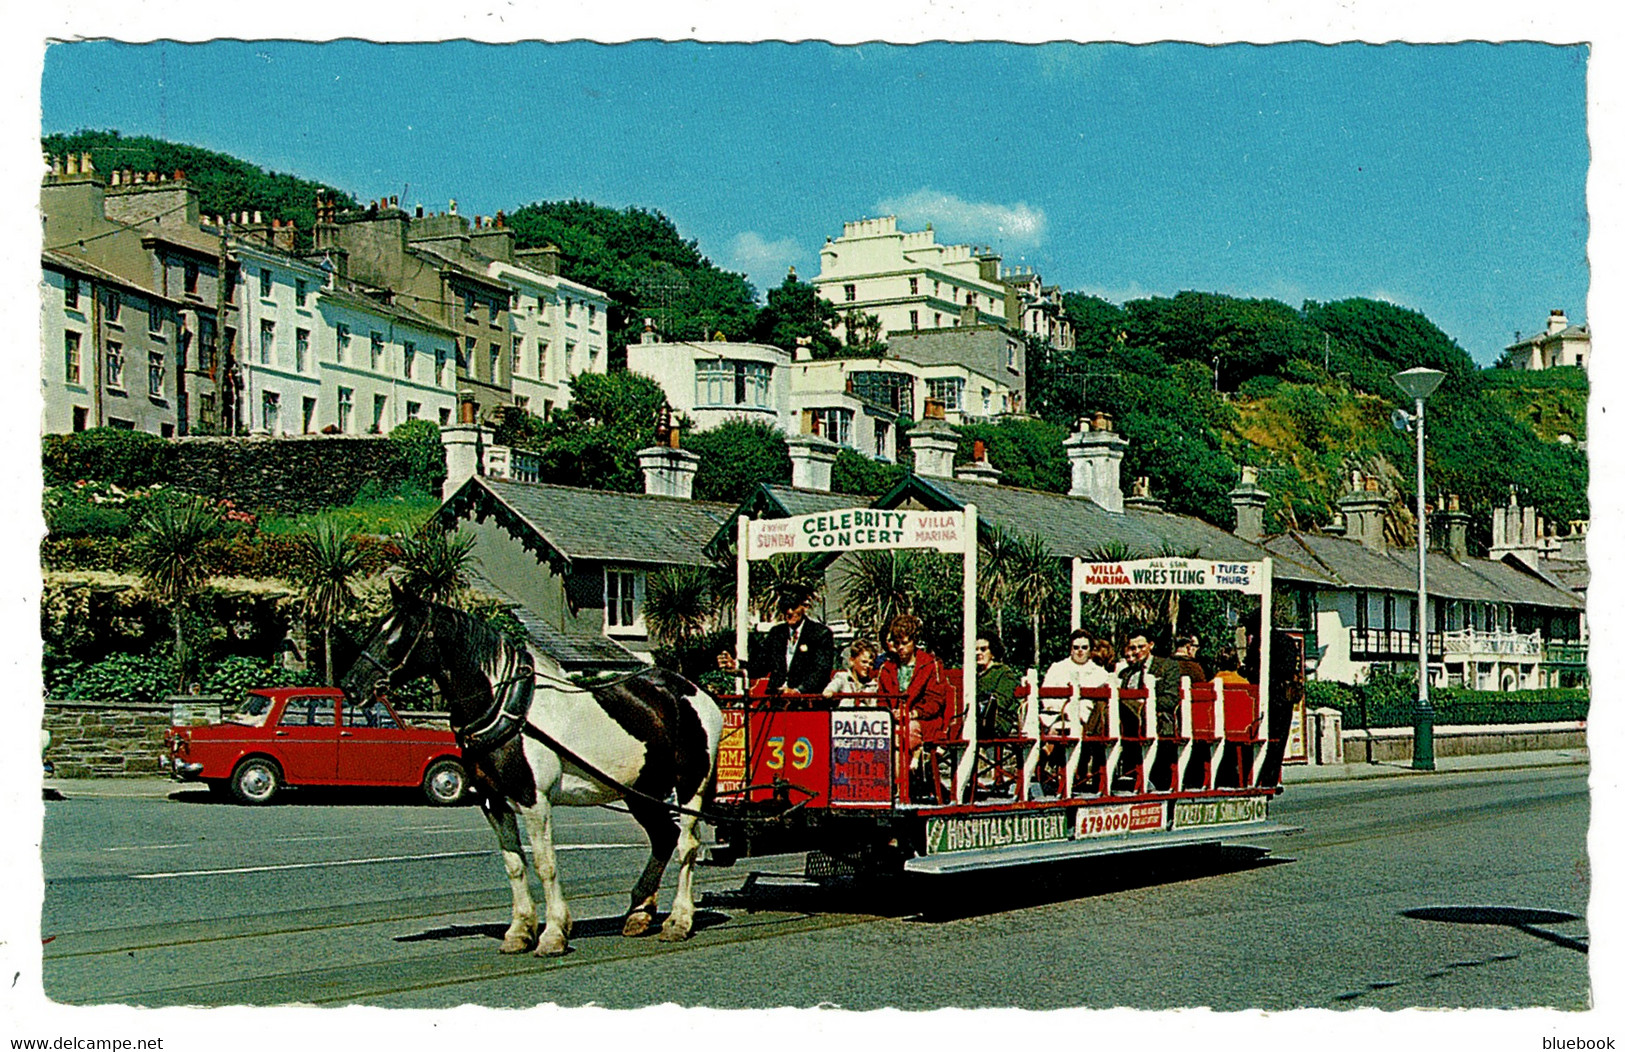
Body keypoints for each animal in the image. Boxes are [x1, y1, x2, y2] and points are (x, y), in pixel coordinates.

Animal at [349, 588, 724, 956]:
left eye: (399, 635)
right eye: (377, 627)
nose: (352, 685)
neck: (509, 710)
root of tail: (693, 693)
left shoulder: (534, 800)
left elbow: (545, 864)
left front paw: (554, 933)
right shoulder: (493, 801)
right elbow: (514, 864)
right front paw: (519, 931)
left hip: (690, 784)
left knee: (686, 844)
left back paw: (679, 920)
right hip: (642, 791)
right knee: (663, 837)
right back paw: (639, 914)